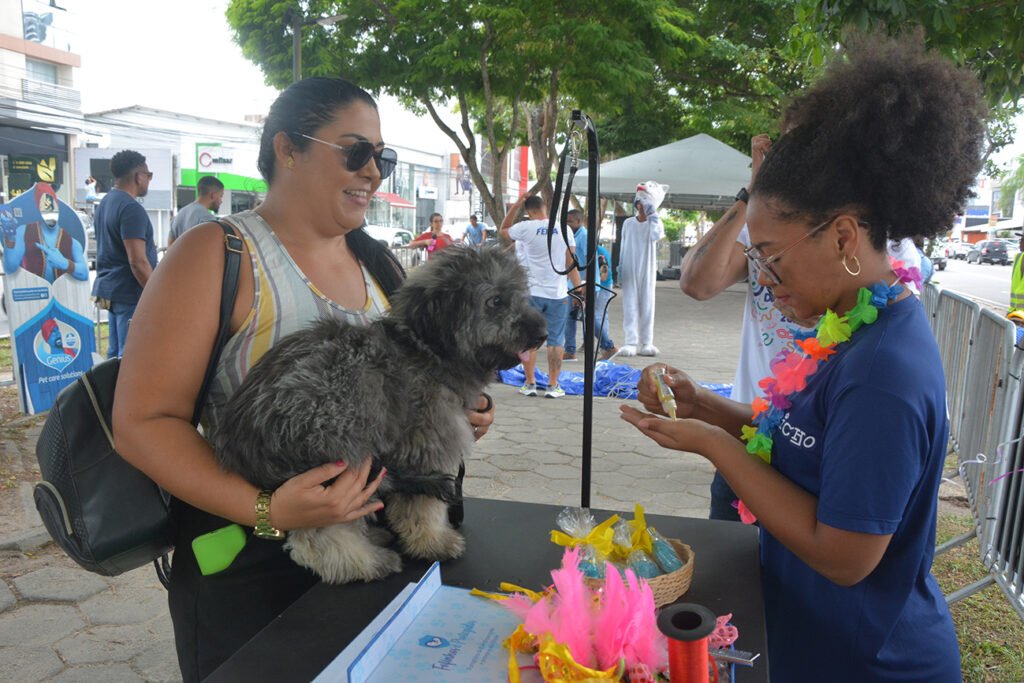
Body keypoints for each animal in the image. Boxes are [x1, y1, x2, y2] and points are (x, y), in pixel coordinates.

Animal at [210, 245, 548, 581]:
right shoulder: (426, 445)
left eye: (521, 295)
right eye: (495, 301)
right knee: (315, 537)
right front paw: (433, 542)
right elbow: (422, 508)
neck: (424, 351)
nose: (543, 333)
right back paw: (366, 563)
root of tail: (237, 443)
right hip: (336, 445)